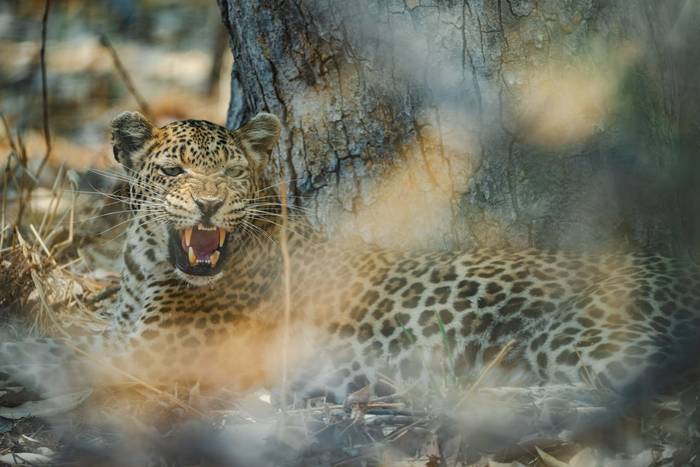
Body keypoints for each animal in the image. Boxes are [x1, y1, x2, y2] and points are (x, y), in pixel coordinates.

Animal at [2, 110, 700, 406]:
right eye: (173, 172)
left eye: (231, 175)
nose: (207, 205)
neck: (144, 269)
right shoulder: (121, 336)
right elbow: (66, 341)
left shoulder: (152, 357)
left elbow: (59, 355)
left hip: (582, 338)